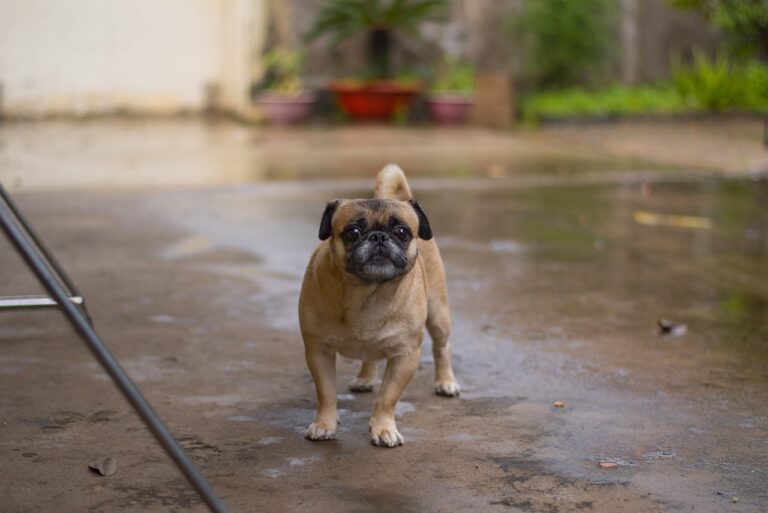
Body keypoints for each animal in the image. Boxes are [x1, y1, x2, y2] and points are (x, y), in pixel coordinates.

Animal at [298, 165, 456, 448]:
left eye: (402, 232)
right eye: (353, 232)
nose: (379, 236)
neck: (369, 293)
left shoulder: (405, 355)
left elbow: (387, 398)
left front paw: (383, 429)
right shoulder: (318, 351)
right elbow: (326, 392)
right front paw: (324, 424)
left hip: (438, 314)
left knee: (442, 348)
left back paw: (446, 382)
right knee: (369, 356)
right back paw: (365, 377)